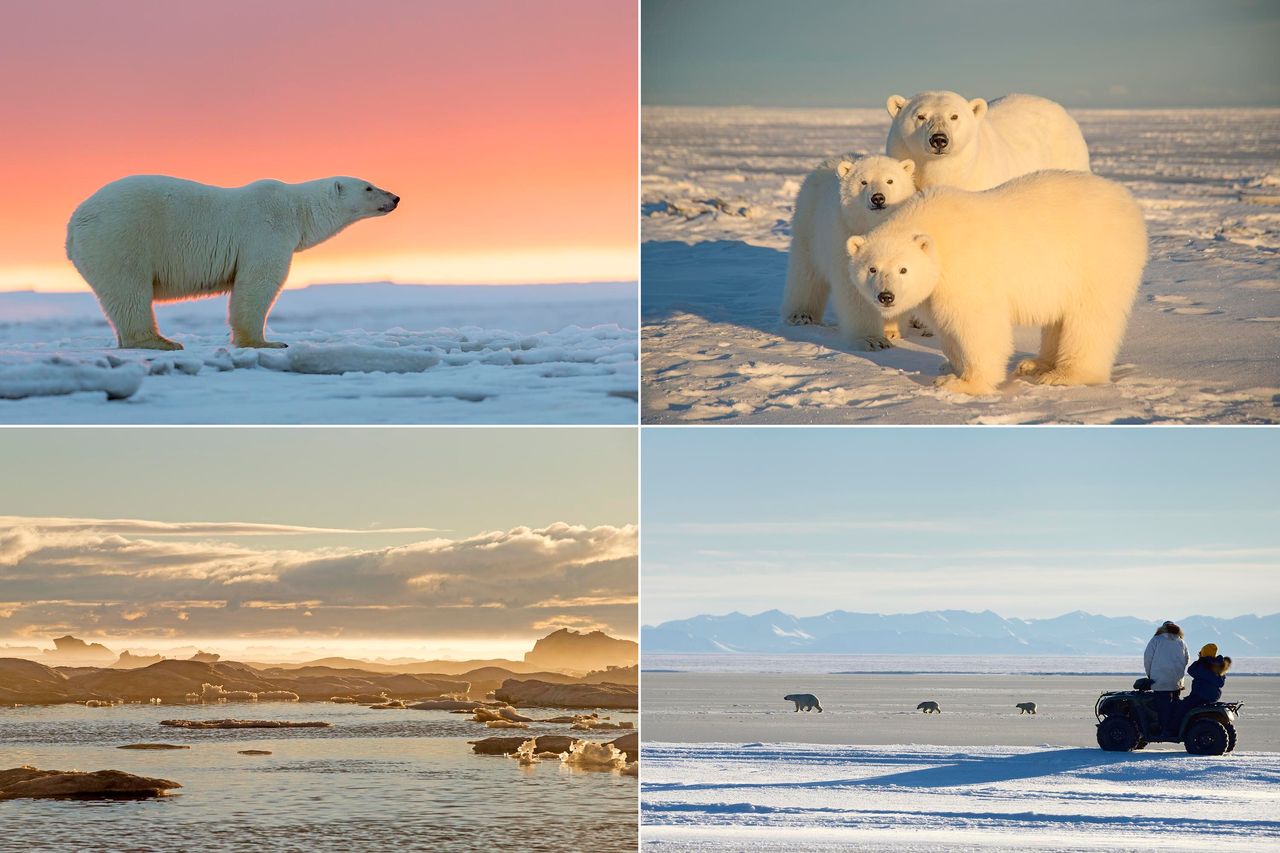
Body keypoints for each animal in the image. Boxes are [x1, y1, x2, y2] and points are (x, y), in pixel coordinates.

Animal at [64, 174, 401, 348]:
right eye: (369, 187)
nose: (395, 197)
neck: (295, 210)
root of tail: (74, 223)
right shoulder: (267, 229)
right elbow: (258, 282)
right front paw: (265, 343)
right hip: (121, 237)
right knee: (129, 290)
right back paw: (159, 341)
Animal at [778, 154, 921, 348]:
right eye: (864, 182)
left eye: (890, 180)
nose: (878, 198)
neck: (872, 225)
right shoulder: (846, 234)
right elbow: (855, 289)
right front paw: (872, 340)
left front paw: (890, 330)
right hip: (809, 226)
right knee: (806, 272)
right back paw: (801, 314)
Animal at [844, 170, 1146, 394]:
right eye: (872, 268)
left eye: (904, 269)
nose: (886, 296)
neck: (936, 230)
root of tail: (1129, 202)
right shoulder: (936, 287)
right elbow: (946, 326)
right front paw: (949, 367)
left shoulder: (965, 269)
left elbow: (977, 324)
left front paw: (963, 383)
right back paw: (1036, 364)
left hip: (1097, 259)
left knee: (1090, 318)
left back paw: (1065, 374)